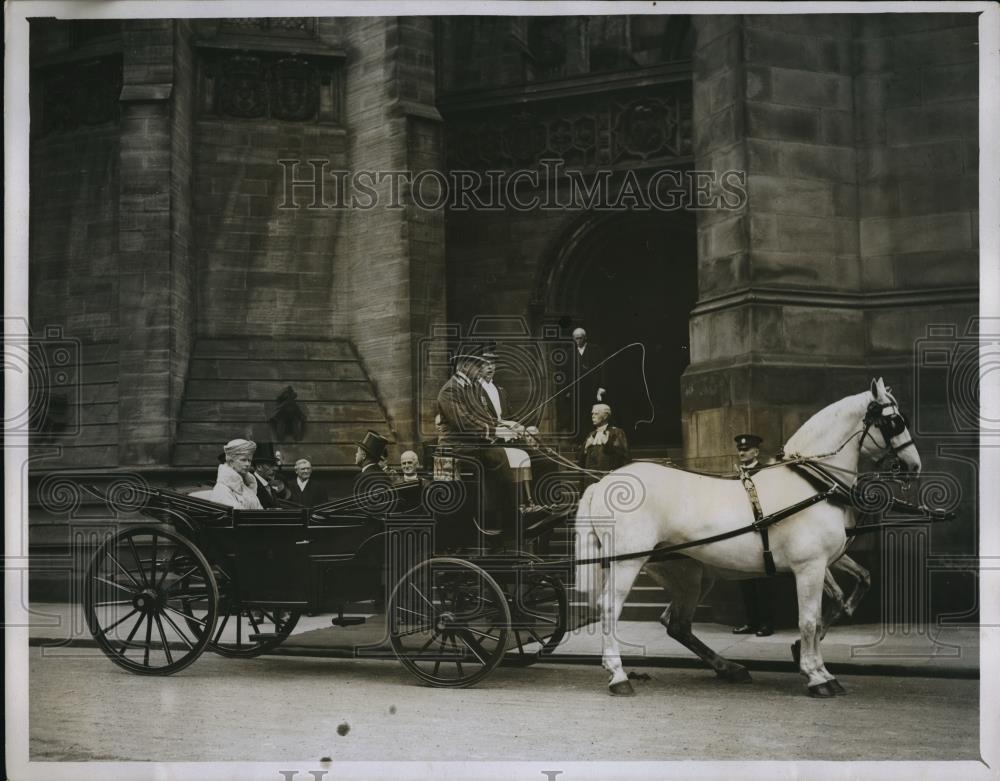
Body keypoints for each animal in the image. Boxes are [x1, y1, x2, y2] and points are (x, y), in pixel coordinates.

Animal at [580, 378, 920, 696]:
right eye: (895, 421)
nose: (914, 466)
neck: (811, 483)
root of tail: (604, 482)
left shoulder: (825, 560)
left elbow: (841, 596)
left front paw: (812, 660)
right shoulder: (809, 566)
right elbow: (809, 620)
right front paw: (817, 675)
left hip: (689, 574)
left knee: (676, 623)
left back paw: (729, 668)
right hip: (628, 562)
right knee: (610, 608)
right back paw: (618, 674)